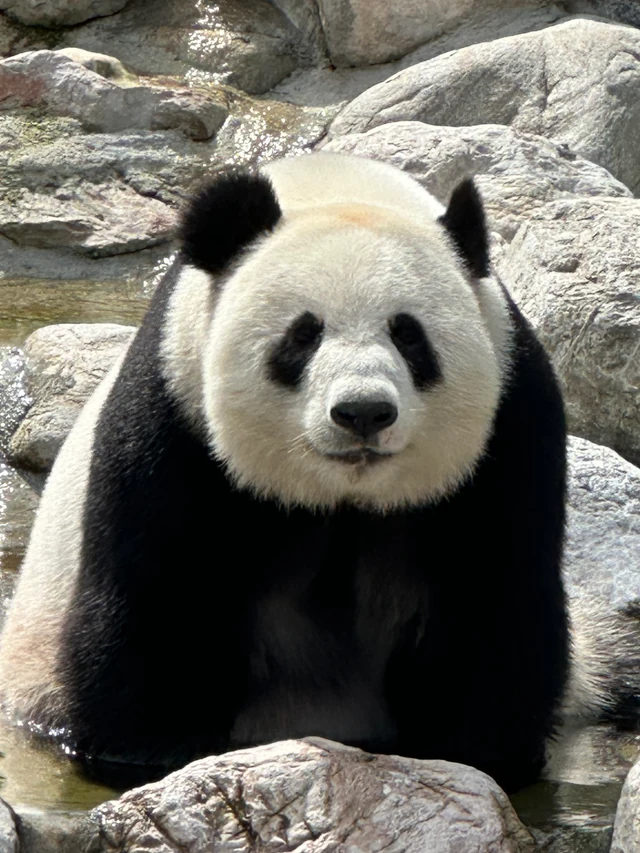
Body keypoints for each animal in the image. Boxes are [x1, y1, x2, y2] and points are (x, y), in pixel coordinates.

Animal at [0, 151, 614, 794]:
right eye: (303, 334)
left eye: (409, 334)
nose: (363, 412)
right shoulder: (175, 416)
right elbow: (159, 599)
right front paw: (146, 754)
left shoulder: (511, 425)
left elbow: (493, 598)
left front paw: (479, 756)